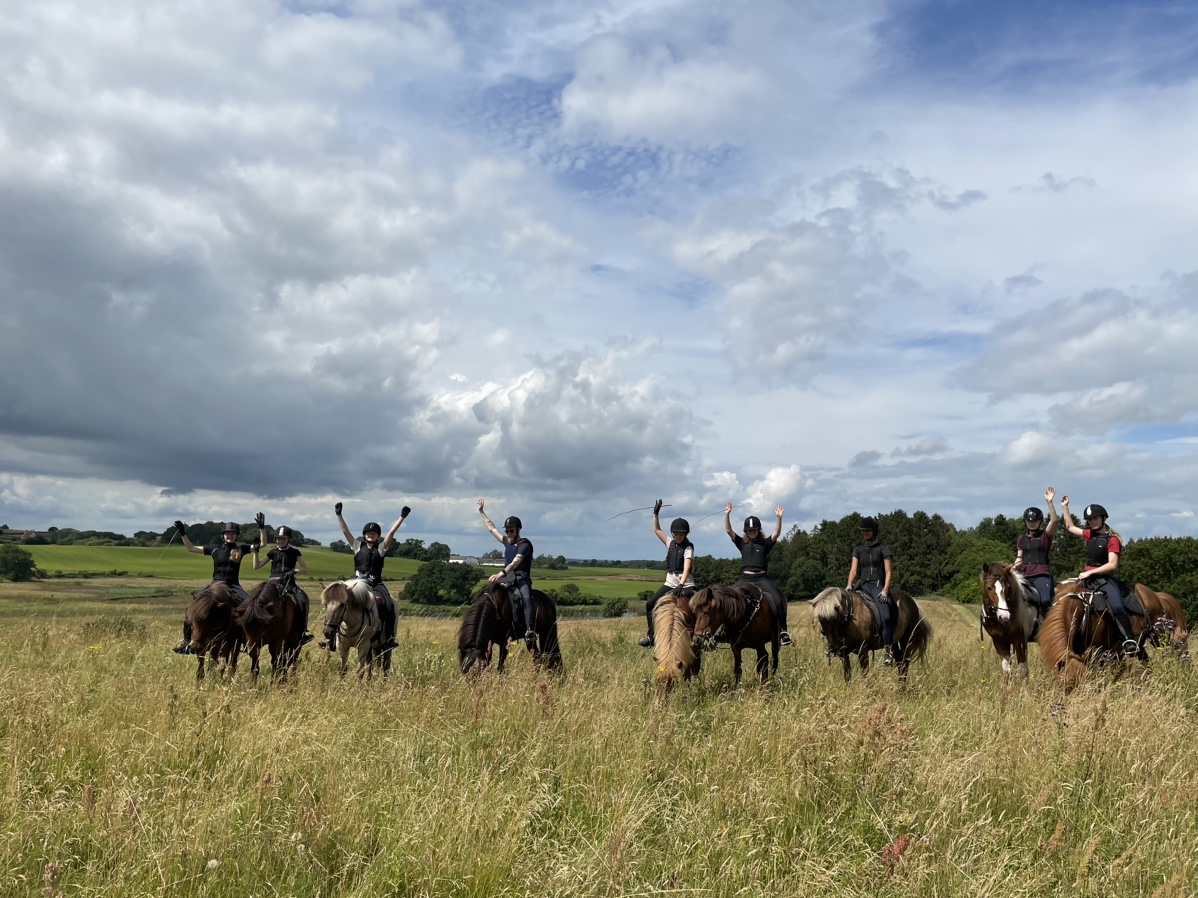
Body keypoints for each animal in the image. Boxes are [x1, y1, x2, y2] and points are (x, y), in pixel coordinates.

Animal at [1039, 577, 1188, 689]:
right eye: (1065, 686)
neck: (1081, 609)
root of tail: (1155, 595)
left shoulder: (1100, 651)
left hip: (1158, 636)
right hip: (1138, 645)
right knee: (1147, 663)